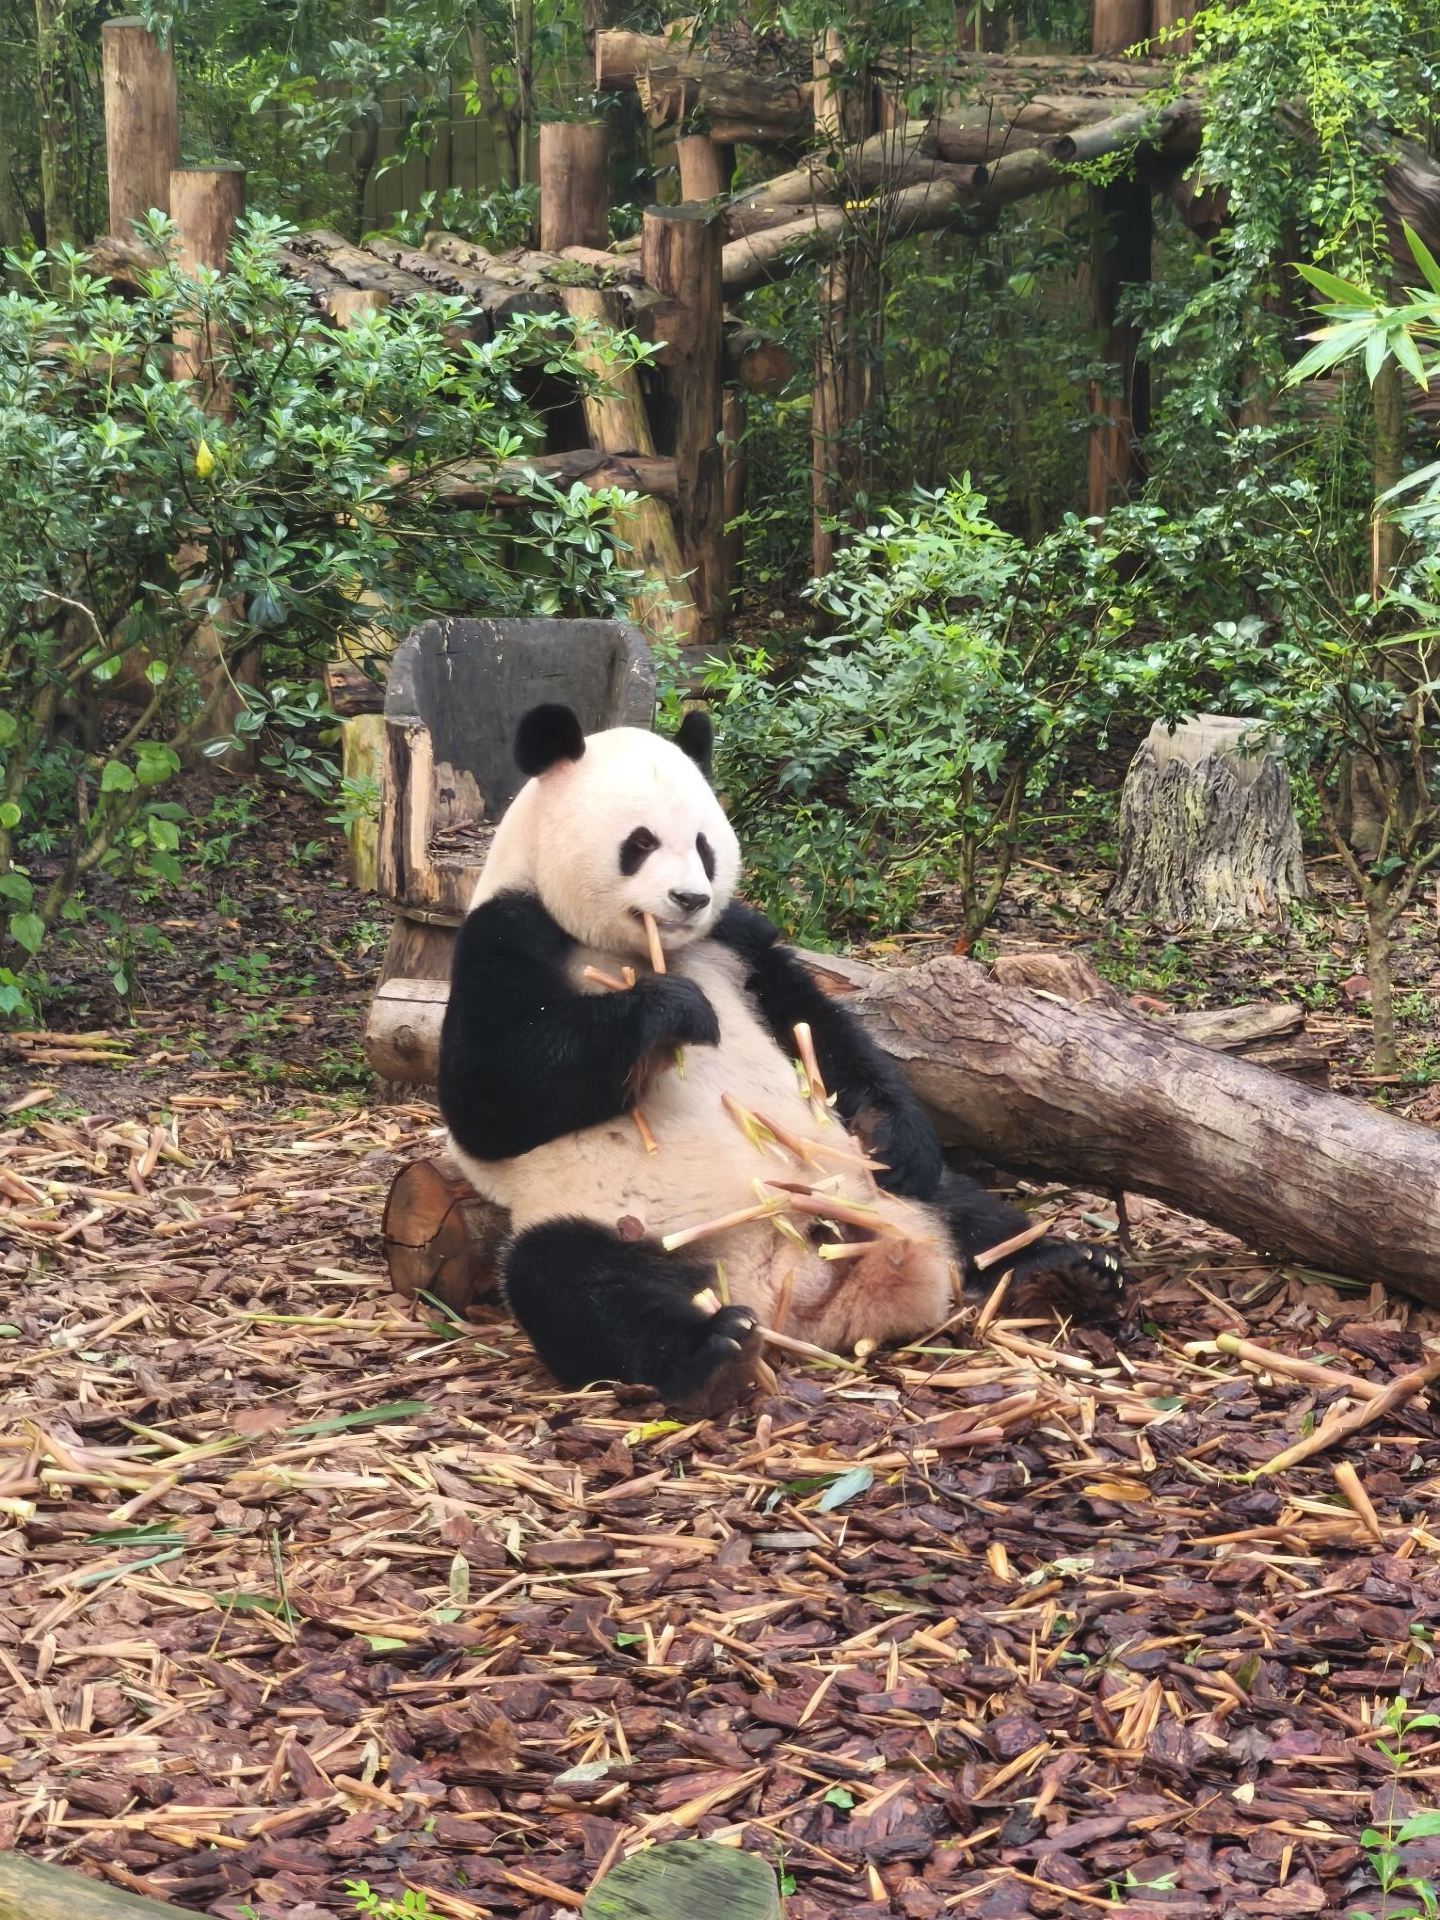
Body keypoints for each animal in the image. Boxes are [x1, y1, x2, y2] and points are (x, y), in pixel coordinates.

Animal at [437, 703, 1124, 1413]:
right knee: (571, 1283)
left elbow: (818, 1028)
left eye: (704, 846)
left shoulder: (736, 940)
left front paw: (898, 1133)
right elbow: (488, 1095)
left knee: (966, 1206)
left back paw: (1062, 1271)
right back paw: (715, 1352)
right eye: (641, 843)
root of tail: (798, 1290)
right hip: (628, 1225)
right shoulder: (505, 935)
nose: (690, 899)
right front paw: (672, 1011)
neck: (644, 948)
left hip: (866, 1186)